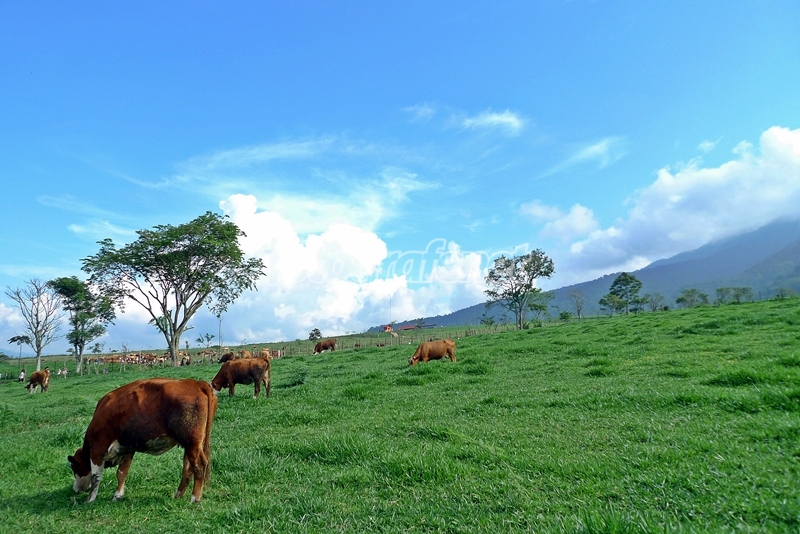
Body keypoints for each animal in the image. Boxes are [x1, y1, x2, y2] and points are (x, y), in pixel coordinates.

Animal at [68, 378, 218, 503]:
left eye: (74, 467)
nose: (75, 490)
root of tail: (196, 383)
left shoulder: (97, 451)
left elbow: (95, 477)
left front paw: (90, 499)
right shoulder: (127, 448)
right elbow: (121, 473)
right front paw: (117, 495)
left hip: (192, 443)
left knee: (199, 466)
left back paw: (195, 498)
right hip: (190, 444)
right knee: (188, 468)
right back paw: (178, 494)